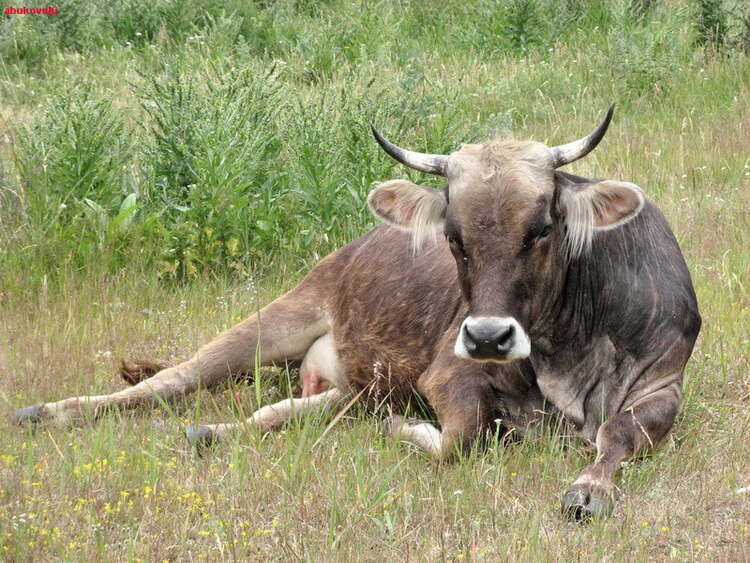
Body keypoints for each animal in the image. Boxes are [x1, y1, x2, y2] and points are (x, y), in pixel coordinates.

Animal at [11, 108, 704, 524]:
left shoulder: (663, 384)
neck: (569, 348)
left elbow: (622, 434)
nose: (487, 336)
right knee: (167, 382)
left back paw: (215, 432)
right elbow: (460, 438)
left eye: (542, 228)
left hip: (354, 382)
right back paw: (46, 413)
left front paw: (591, 488)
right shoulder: (447, 373)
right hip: (279, 318)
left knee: (286, 411)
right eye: (452, 237)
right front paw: (409, 430)